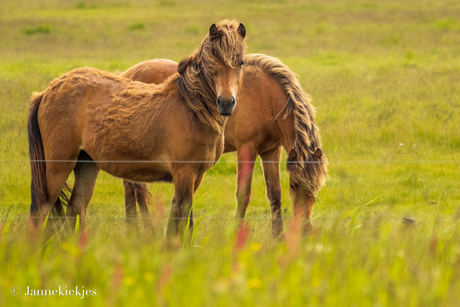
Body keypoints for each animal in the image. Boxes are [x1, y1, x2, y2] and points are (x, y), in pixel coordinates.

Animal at [27, 19, 246, 237]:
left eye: (241, 62)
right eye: (212, 62)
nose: (226, 102)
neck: (192, 109)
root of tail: (47, 91)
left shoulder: (195, 177)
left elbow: (176, 221)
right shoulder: (184, 174)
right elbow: (184, 222)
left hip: (87, 164)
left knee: (75, 209)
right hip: (57, 167)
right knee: (40, 211)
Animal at [121, 53, 328, 236]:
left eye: (316, 188)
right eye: (293, 185)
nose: (305, 229)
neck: (266, 98)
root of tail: (127, 74)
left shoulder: (271, 151)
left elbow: (275, 195)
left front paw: (278, 238)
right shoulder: (246, 148)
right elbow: (243, 195)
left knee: (130, 188)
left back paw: (133, 230)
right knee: (139, 190)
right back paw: (147, 231)